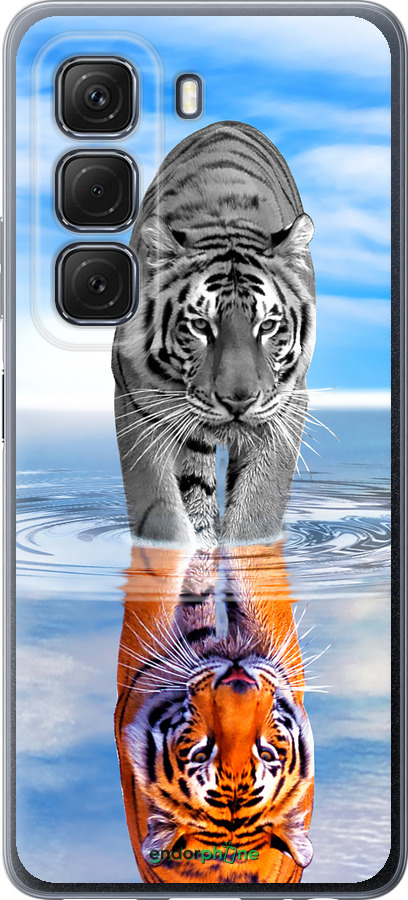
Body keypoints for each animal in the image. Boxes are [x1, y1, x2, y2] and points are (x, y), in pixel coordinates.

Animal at [112, 120, 316, 549]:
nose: (238, 400)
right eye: (201, 326)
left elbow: (257, 510)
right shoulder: (136, 402)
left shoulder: (287, 404)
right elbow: (160, 512)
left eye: (267, 326)